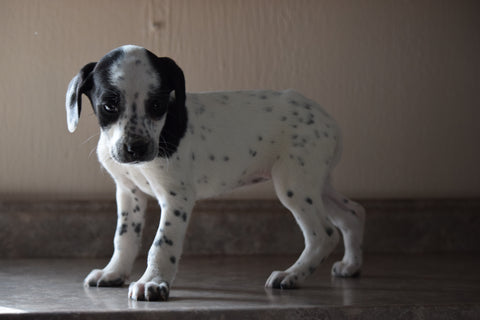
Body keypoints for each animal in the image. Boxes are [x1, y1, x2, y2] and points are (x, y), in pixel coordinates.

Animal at [63, 45, 364, 302]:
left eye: (158, 104)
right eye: (109, 105)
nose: (136, 148)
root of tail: (327, 119)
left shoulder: (176, 197)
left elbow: (162, 244)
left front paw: (153, 282)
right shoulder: (129, 192)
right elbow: (124, 237)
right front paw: (114, 272)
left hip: (295, 186)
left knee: (324, 233)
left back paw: (291, 275)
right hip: (316, 184)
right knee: (352, 213)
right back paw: (350, 266)